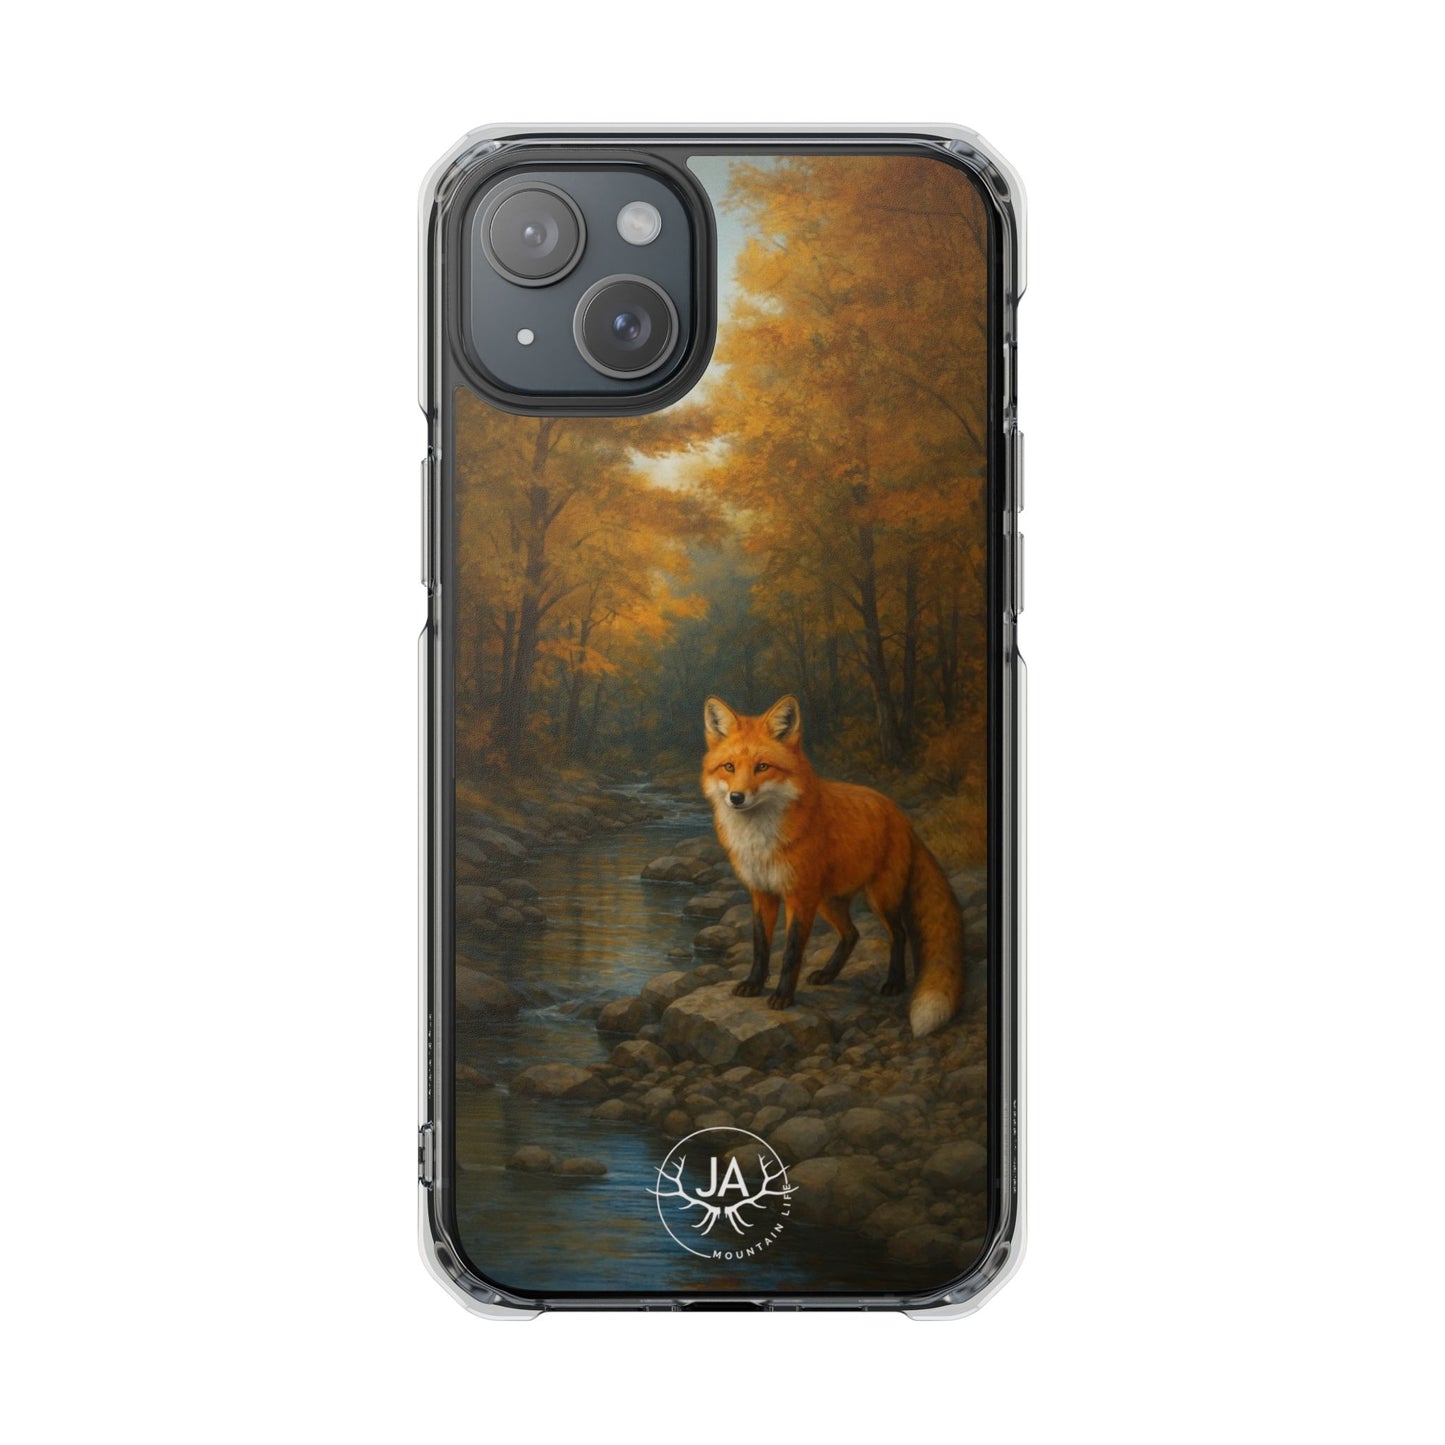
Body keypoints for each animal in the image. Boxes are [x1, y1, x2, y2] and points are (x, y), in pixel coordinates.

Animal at [700, 694, 966, 1038]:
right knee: (852, 934)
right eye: (729, 767)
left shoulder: (799, 896)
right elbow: (761, 945)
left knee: (899, 934)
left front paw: (783, 996)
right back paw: (828, 974)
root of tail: (901, 816)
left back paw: (894, 982)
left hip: (879, 898)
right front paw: (754, 984)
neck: (760, 840)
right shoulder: (762, 892)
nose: (736, 797)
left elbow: (791, 952)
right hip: (829, 901)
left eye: (762, 767)